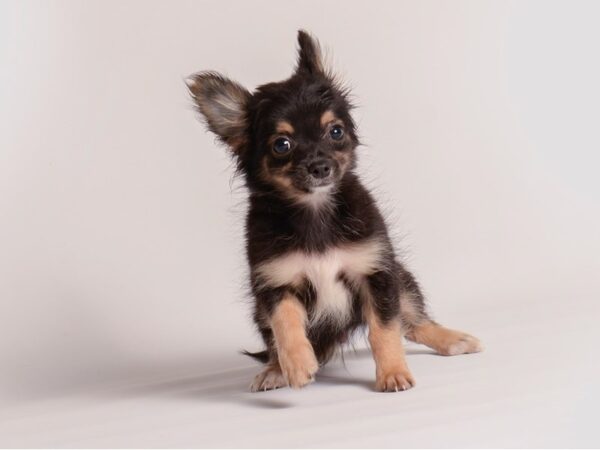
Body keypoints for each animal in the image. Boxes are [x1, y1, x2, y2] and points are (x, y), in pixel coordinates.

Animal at [185, 29, 480, 392]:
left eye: (335, 131)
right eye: (282, 145)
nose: (320, 167)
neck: (315, 211)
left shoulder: (376, 273)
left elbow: (384, 329)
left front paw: (393, 373)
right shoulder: (275, 283)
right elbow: (285, 324)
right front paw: (296, 365)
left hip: (401, 278)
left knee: (412, 321)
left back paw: (452, 339)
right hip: (259, 309)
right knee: (272, 342)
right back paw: (274, 369)